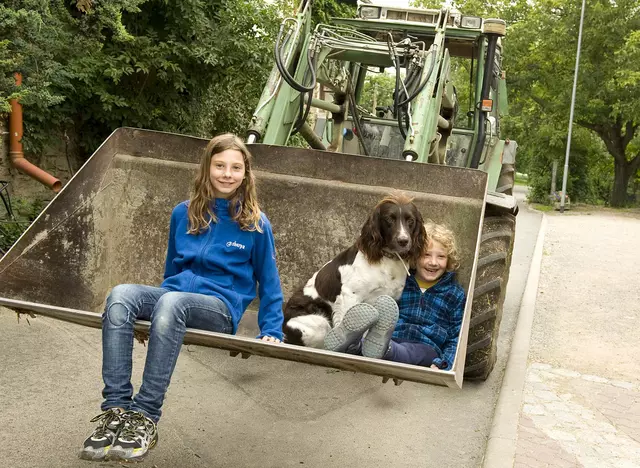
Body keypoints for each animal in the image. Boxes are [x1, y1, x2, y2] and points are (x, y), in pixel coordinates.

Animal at [284, 193, 424, 348]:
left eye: (410, 220)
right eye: (389, 219)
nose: (403, 241)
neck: (387, 259)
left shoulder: (391, 298)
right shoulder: (350, 295)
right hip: (318, 322)